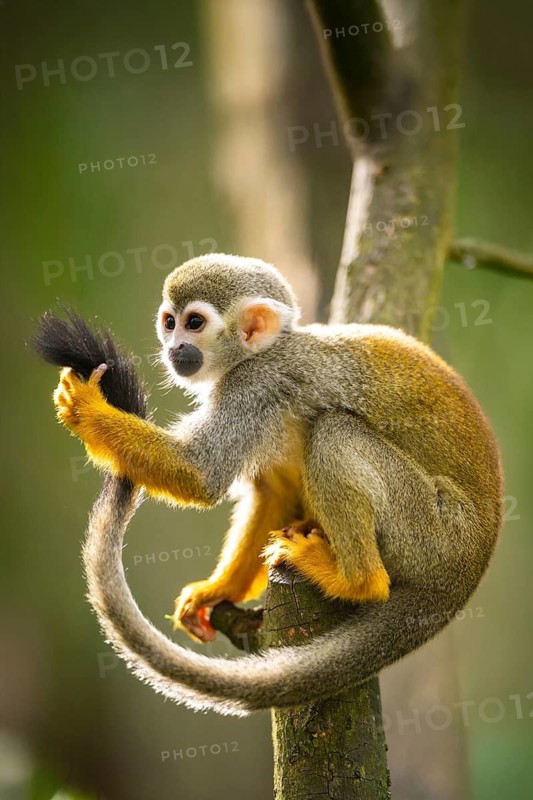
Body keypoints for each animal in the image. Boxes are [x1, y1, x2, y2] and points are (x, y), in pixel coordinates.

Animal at [33, 254, 503, 716]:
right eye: (169, 322)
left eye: (194, 323)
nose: (173, 347)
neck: (260, 353)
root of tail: (464, 577)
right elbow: (272, 494)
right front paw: (217, 590)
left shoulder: (254, 387)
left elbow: (201, 474)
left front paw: (88, 409)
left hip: (433, 532)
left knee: (334, 433)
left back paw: (357, 580)